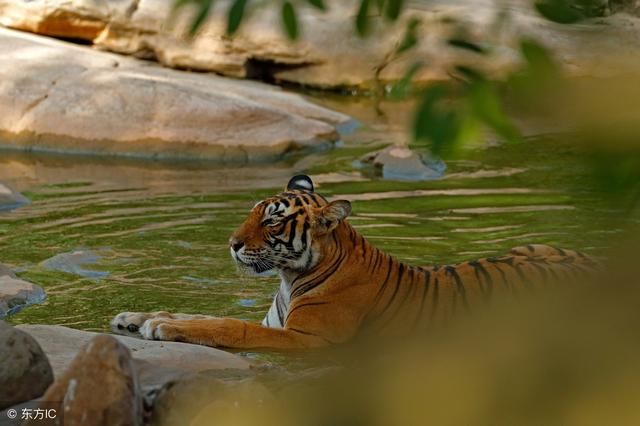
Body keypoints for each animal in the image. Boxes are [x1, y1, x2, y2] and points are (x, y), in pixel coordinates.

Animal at [111, 174, 600, 350]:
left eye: (272, 222)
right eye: (253, 212)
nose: (231, 244)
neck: (290, 277)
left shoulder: (307, 339)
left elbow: (230, 327)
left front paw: (163, 327)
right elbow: (201, 314)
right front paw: (135, 317)